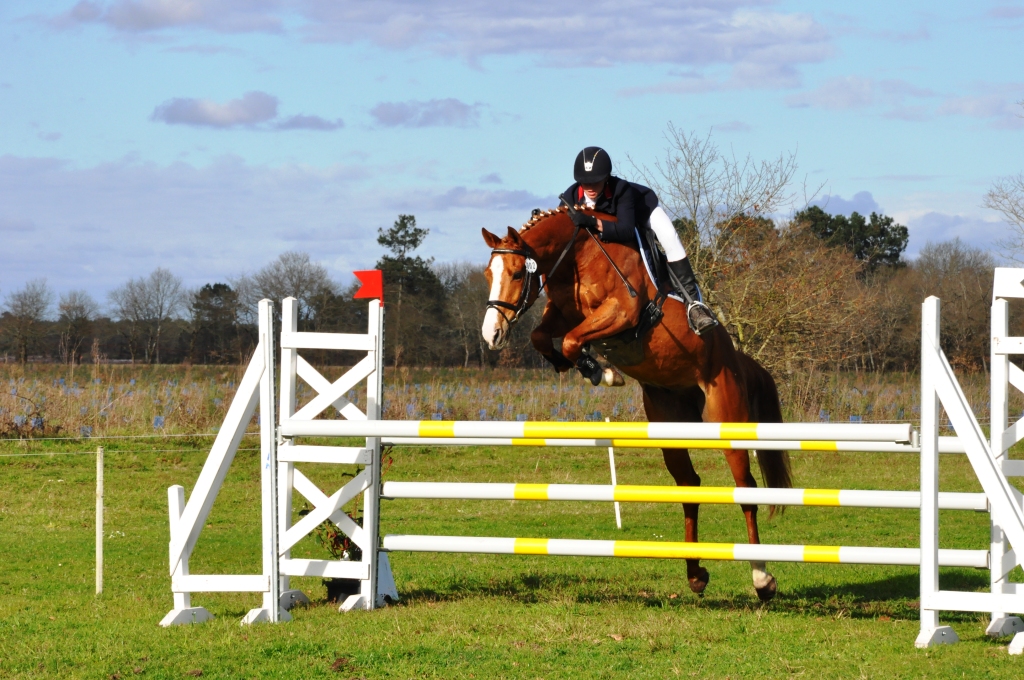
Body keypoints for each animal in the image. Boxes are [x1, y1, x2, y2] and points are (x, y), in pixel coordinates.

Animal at [479, 205, 790, 602]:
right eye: (489, 273)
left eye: (518, 273)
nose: (491, 335)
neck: (579, 254)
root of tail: (736, 357)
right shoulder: (563, 313)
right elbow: (542, 336)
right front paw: (582, 366)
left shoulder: (621, 312)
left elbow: (571, 339)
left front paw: (602, 371)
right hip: (668, 421)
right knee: (689, 485)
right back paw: (695, 573)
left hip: (726, 413)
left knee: (745, 489)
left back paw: (762, 579)